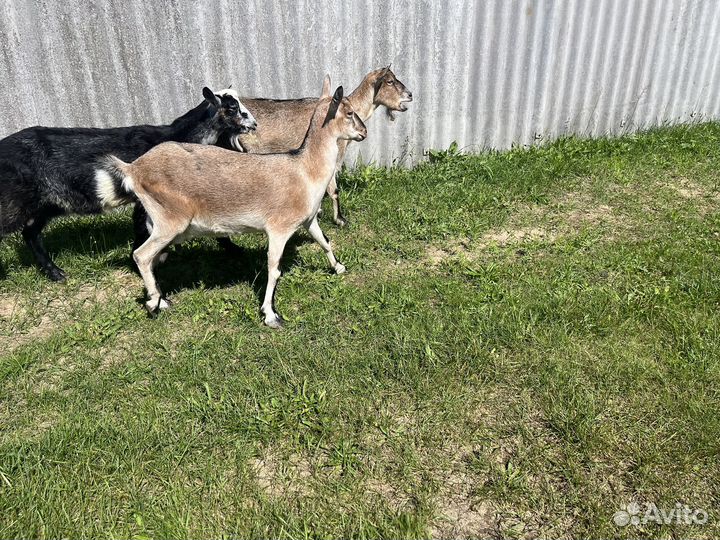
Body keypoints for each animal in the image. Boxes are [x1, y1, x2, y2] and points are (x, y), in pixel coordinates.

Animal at [0, 87, 256, 282]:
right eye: (232, 108)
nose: (254, 125)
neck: (178, 136)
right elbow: (142, 227)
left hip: (47, 203)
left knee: (31, 233)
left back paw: (55, 273)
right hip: (13, 202)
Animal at [103, 82, 366, 328]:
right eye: (349, 112)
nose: (363, 132)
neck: (305, 171)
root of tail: (133, 169)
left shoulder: (308, 220)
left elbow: (324, 241)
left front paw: (339, 267)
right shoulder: (279, 228)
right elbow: (274, 269)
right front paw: (271, 315)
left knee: (152, 257)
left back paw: (160, 299)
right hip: (169, 220)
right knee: (141, 255)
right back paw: (153, 304)